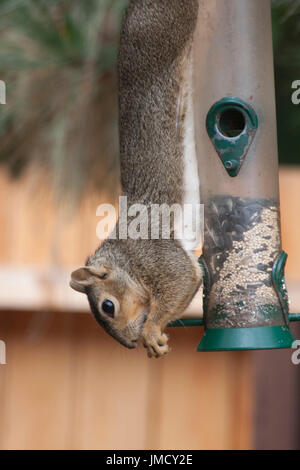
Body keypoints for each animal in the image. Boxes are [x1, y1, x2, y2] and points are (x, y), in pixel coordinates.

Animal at [70, 0, 202, 358]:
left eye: (108, 307)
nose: (129, 344)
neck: (126, 257)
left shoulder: (154, 253)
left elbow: (182, 280)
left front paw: (151, 331)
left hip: (168, 27)